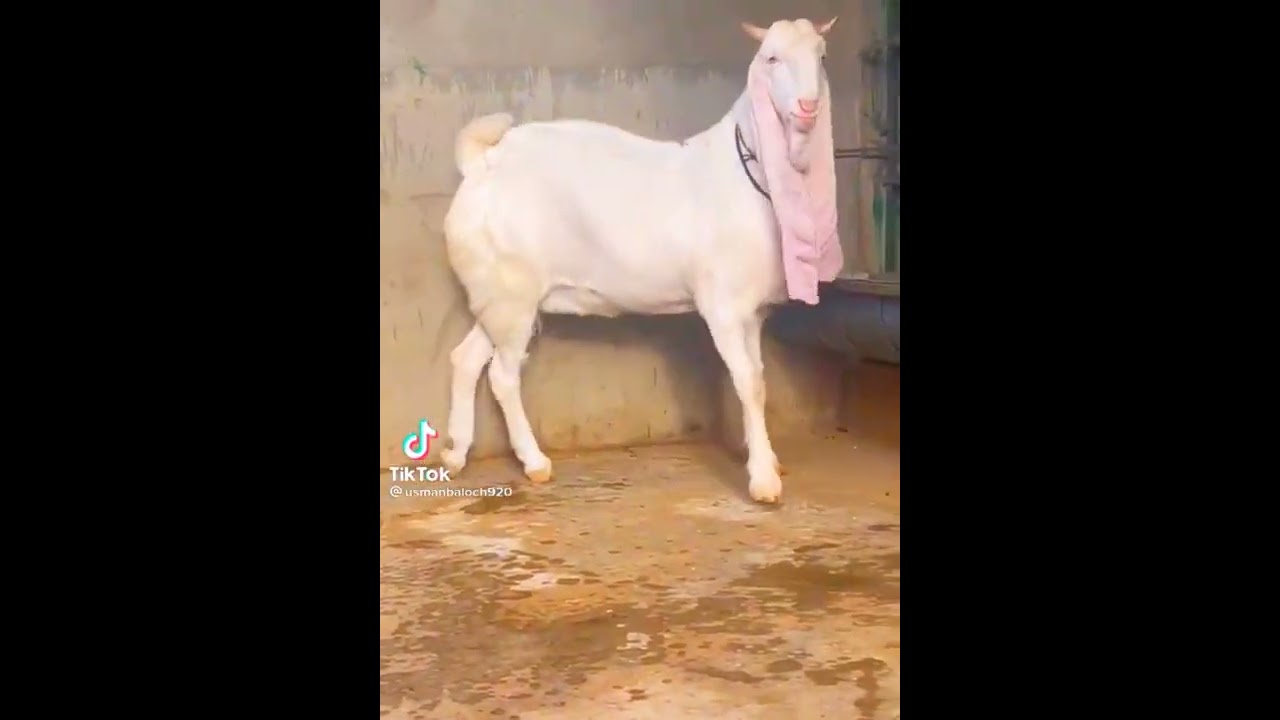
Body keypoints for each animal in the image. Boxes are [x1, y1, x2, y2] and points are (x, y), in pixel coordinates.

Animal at [440, 17, 842, 504]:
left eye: (822, 55)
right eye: (771, 58)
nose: (808, 106)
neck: (745, 172)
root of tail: (482, 163)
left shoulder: (754, 311)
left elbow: (758, 378)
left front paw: (759, 454)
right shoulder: (723, 306)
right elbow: (749, 383)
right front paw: (763, 478)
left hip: (499, 294)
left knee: (466, 359)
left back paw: (456, 453)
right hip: (511, 292)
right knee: (502, 375)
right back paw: (534, 463)